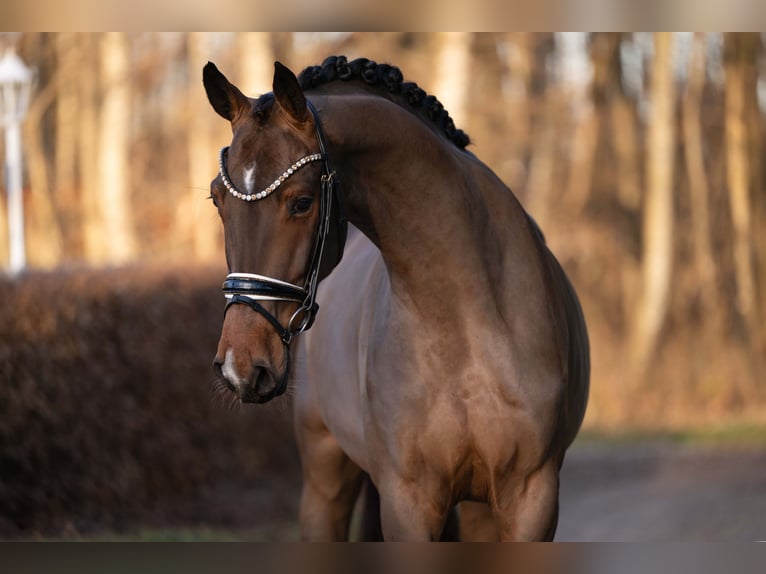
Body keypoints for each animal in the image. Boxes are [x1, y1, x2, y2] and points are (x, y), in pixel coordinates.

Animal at [204, 55, 589, 541]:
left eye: (302, 202)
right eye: (216, 200)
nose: (240, 367)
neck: (467, 324)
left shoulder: (530, 499)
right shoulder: (408, 501)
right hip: (326, 475)